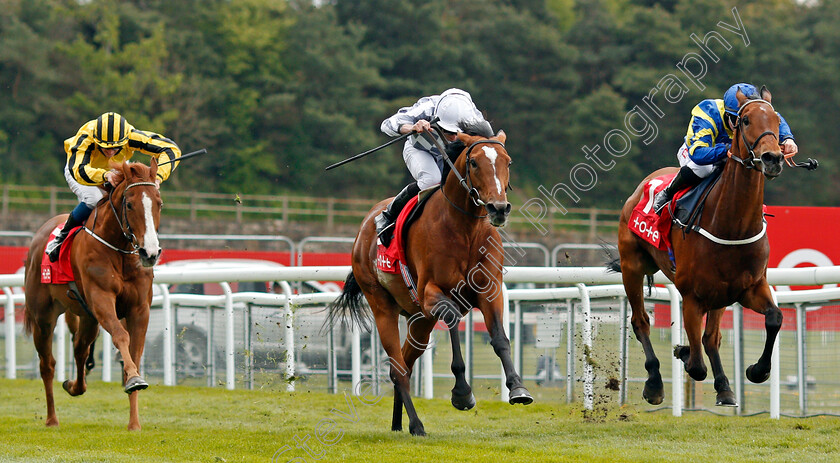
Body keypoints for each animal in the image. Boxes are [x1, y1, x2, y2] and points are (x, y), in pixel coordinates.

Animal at [23, 160, 164, 432]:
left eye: (159, 203)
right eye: (129, 204)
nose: (150, 253)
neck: (119, 249)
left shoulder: (139, 308)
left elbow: (134, 353)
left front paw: (134, 423)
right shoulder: (102, 300)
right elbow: (121, 336)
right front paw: (133, 380)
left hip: (87, 317)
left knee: (80, 348)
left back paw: (74, 386)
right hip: (43, 317)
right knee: (47, 364)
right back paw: (52, 418)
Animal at [326, 121, 532, 436]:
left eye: (507, 162)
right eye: (474, 162)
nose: (499, 208)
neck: (465, 230)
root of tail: (363, 228)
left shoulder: (489, 290)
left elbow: (500, 338)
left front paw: (518, 388)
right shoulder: (430, 292)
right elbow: (452, 318)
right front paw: (462, 393)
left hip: (419, 320)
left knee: (404, 365)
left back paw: (399, 424)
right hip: (383, 306)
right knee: (398, 369)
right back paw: (416, 424)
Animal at [608, 87, 784, 406]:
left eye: (777, 120)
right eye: (746, 120)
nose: (773, 158)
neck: (732, 223)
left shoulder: (749, 287)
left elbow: (774, 318)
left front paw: (757, 370)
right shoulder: (692, 296)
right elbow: (697, 366)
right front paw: (683, 354)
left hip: (721, 295)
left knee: (711, 338)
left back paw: (724, 387)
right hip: (632, 267)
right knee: (641, 322)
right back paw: (654, 383)